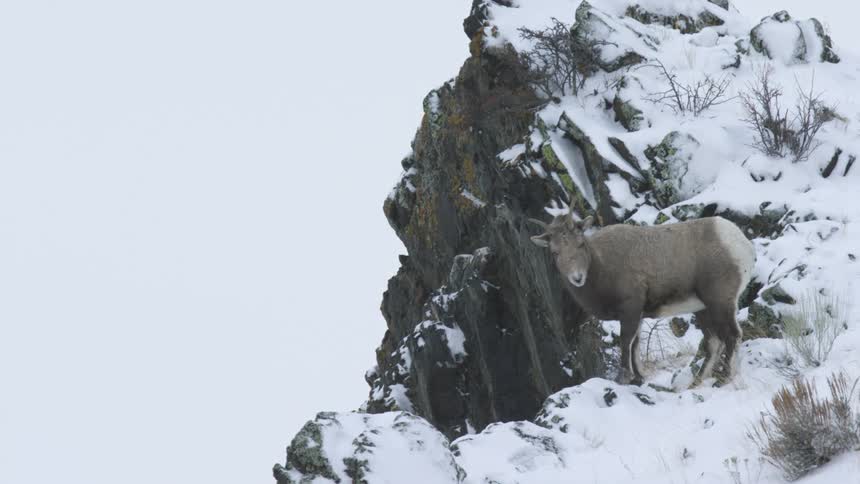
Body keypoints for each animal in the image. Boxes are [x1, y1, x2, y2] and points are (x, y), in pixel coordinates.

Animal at [530, 213, 755, 386]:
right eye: (555, 252)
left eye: (580, 244)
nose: (577, 278)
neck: (601, 266)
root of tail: (740, 243)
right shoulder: (636, 315)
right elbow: (635, 345)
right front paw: (639, 379)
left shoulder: (630, 310)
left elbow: (626, 342)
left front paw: (624, 379)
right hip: (703, 310)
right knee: (714, 343)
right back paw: (696, 383)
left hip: (720, 303)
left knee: (732, 336)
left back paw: (724, 379)